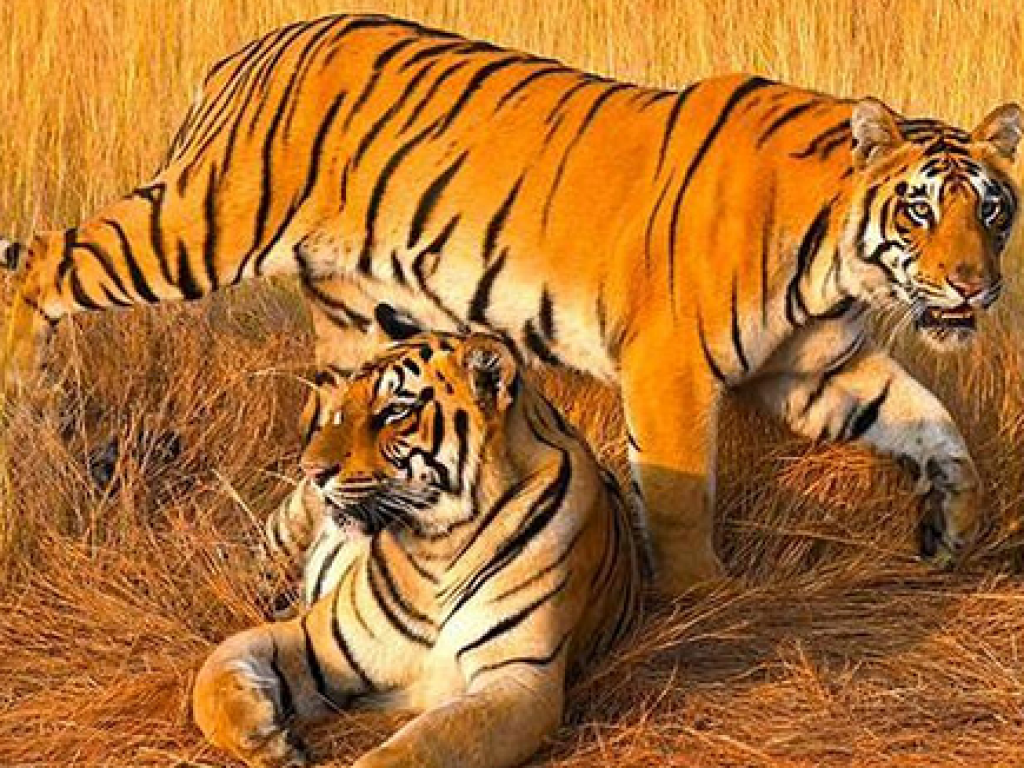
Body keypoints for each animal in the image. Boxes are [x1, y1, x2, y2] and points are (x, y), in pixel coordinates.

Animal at [1, 13, 1021, 594]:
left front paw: (951, 528)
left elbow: (938, 428)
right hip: (198, 226)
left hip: (362, 326)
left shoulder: (817, 370)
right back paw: (34, 405)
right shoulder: (672, 366)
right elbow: (682, 495)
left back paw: (268, 564)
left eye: (991, 209)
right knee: (40, 262)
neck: (834, 262)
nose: (974, 285)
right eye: (920, 210)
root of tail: (252, 47)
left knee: (318, 462)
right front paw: (705, 598)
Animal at [192, 330, 641, 768]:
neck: (440, 545)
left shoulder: (522, 678)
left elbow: (423, 745)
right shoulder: (314, 640)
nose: (311, 470)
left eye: (394, 411)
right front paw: (269, 741)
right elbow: (210, 675)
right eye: (342, 410)